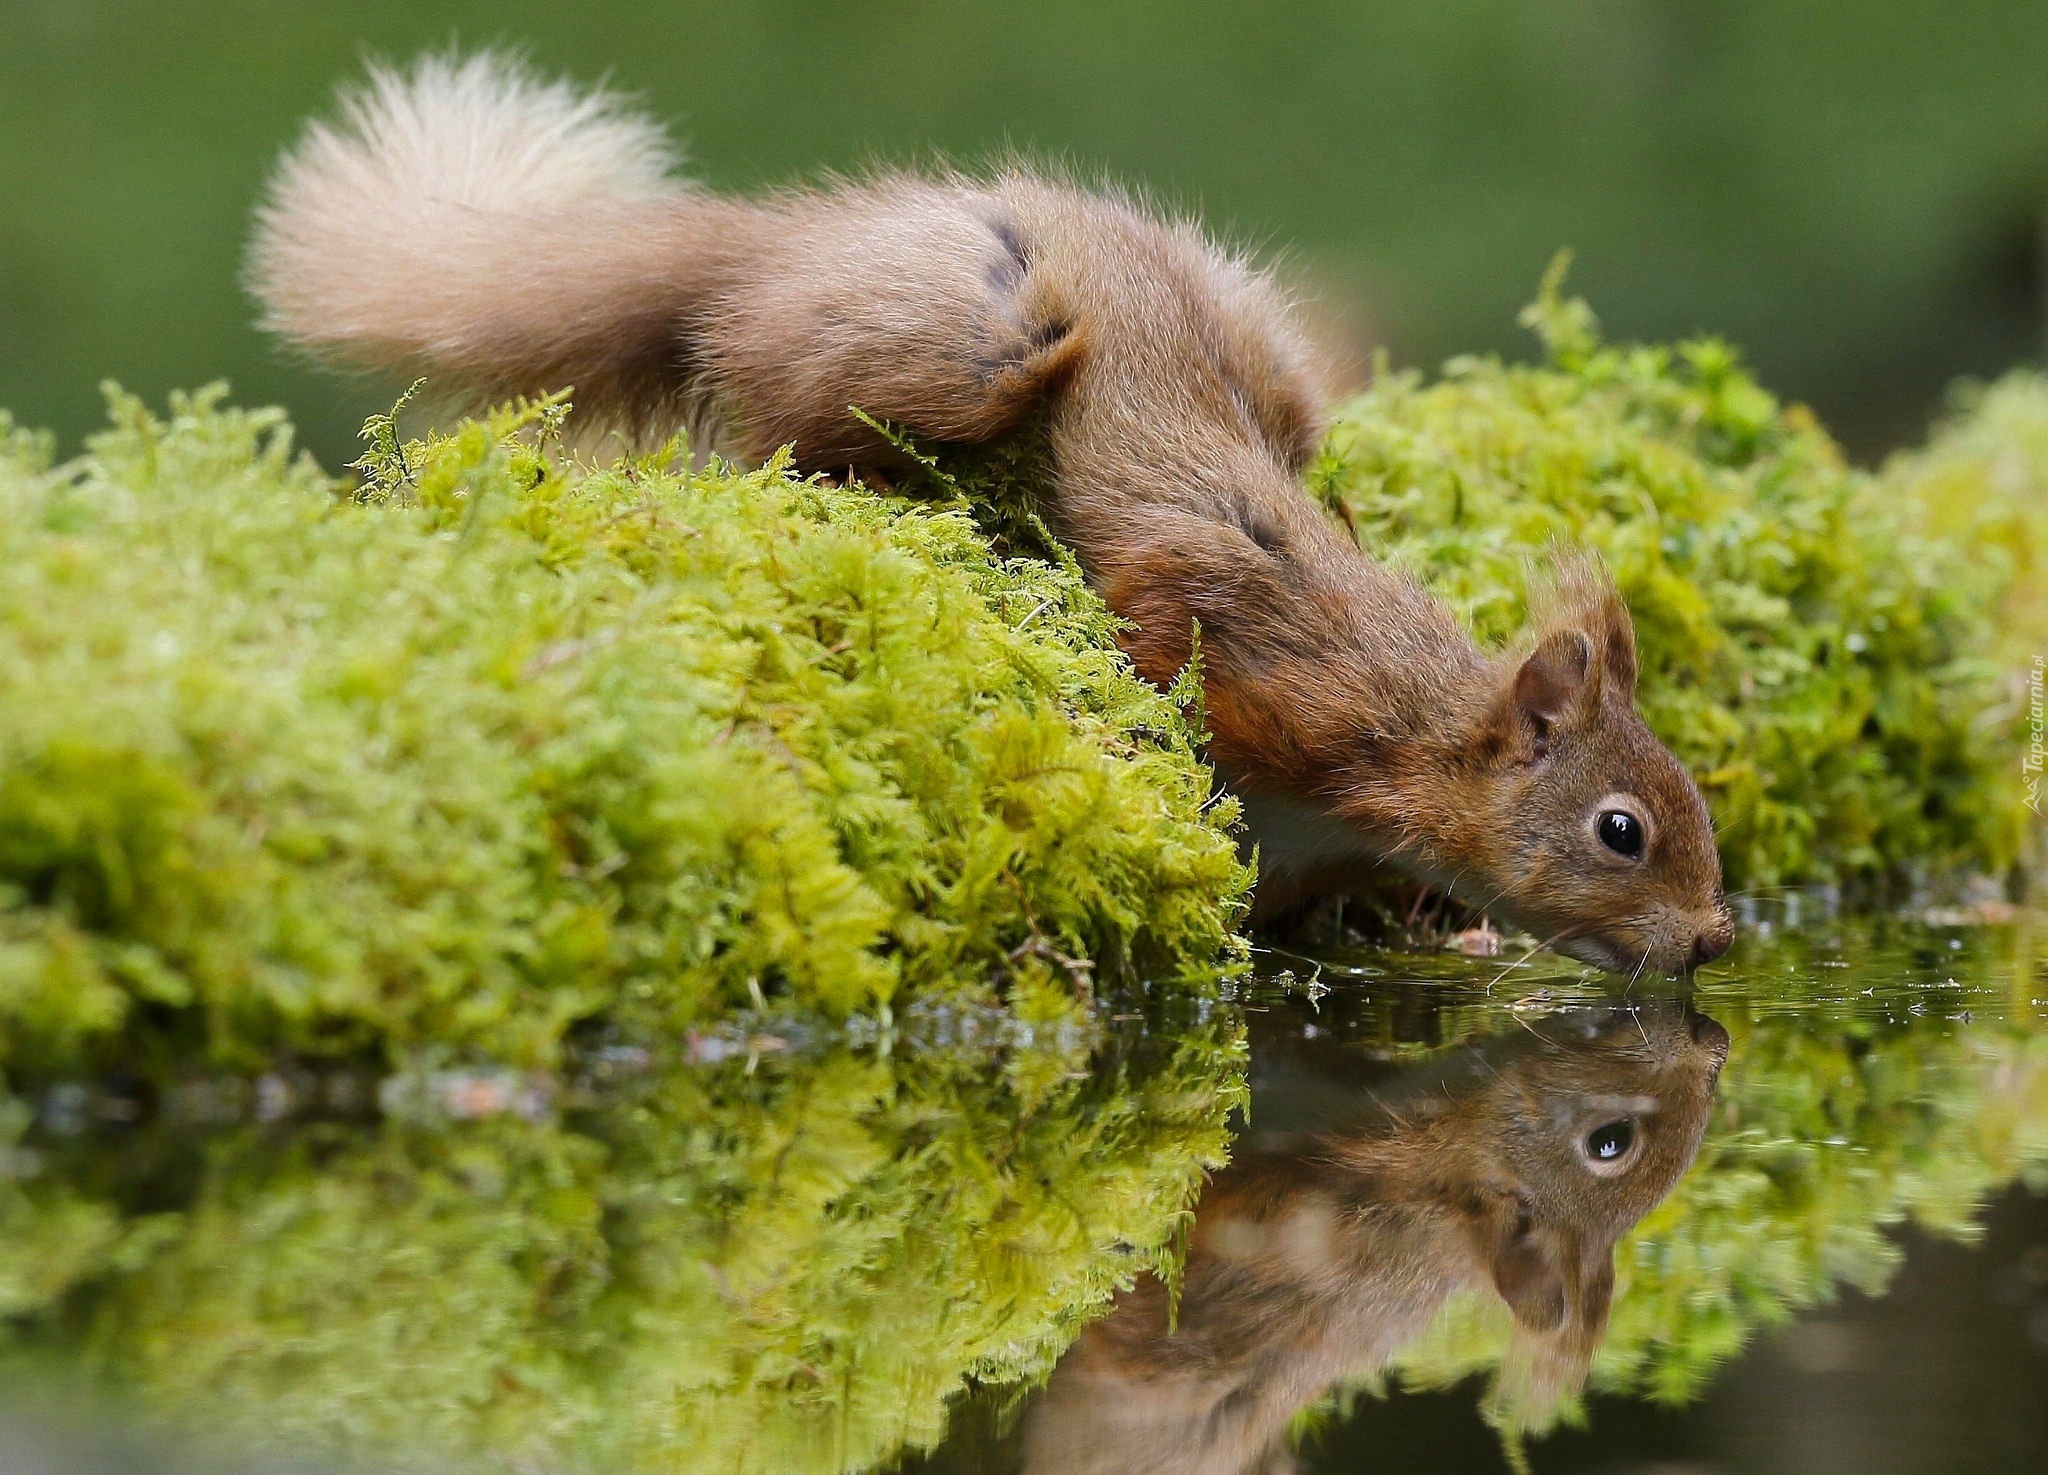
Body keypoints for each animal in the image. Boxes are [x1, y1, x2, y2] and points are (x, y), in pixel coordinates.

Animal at [251, 51, 1728, 979]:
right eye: (1621, 828)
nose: (1717, 937)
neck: (1407, 738)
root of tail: (791, 239)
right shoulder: (1248, 622)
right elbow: (1157, 619)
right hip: (975, 342)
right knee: (783, 418)